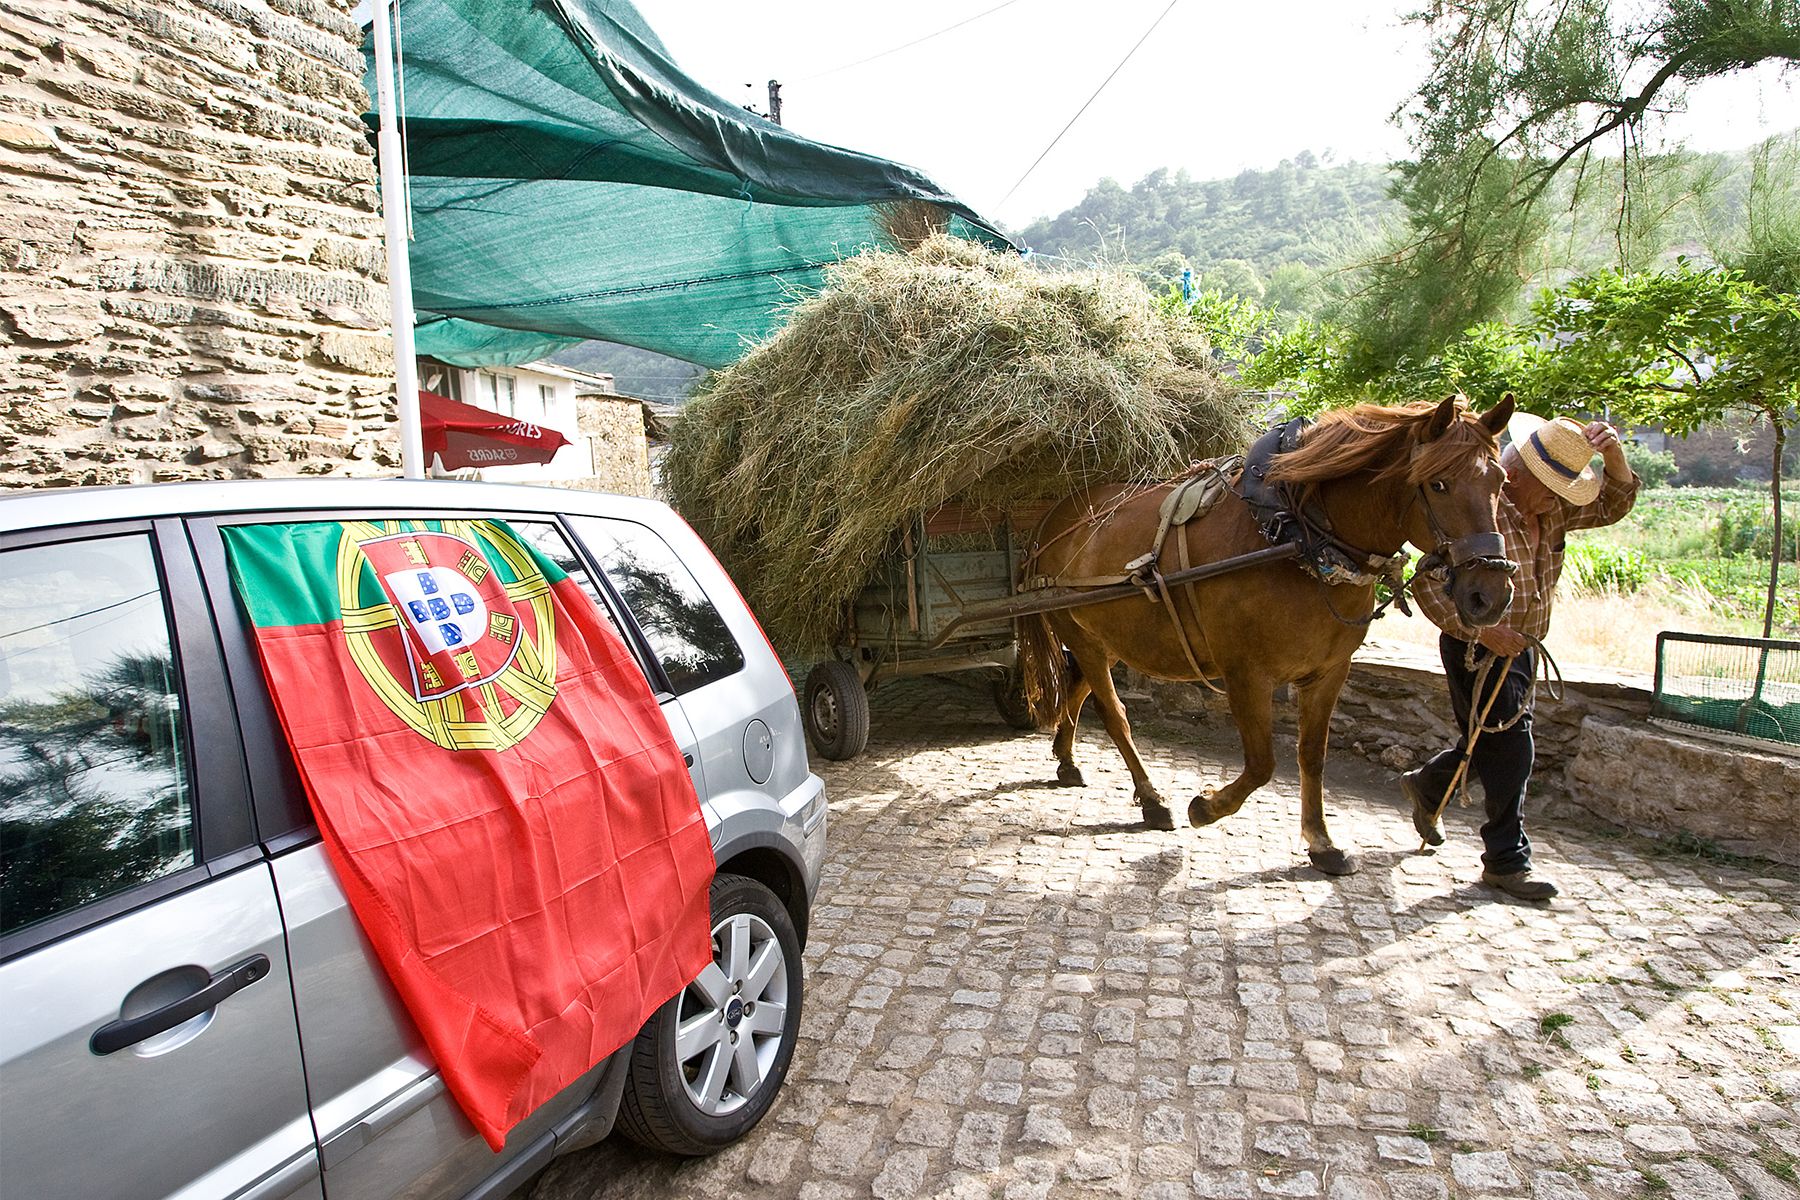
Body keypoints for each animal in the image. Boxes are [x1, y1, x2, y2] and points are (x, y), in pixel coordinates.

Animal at [1015, 394, 1519, 874]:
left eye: (1500, 483)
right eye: (1439, 483)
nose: (1490, 594)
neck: (1294, 536)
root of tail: (1053, 517)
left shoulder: (1329, 672)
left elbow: (1311, 755)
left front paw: (1322, 842)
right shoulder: (1246, 673)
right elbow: (1261, 764)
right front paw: (1206, 806)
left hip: (1114, 638)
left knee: (1079, 687)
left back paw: (1067, 758)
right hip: (1082, 633)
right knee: (1113, 712)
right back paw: (1153, 799)